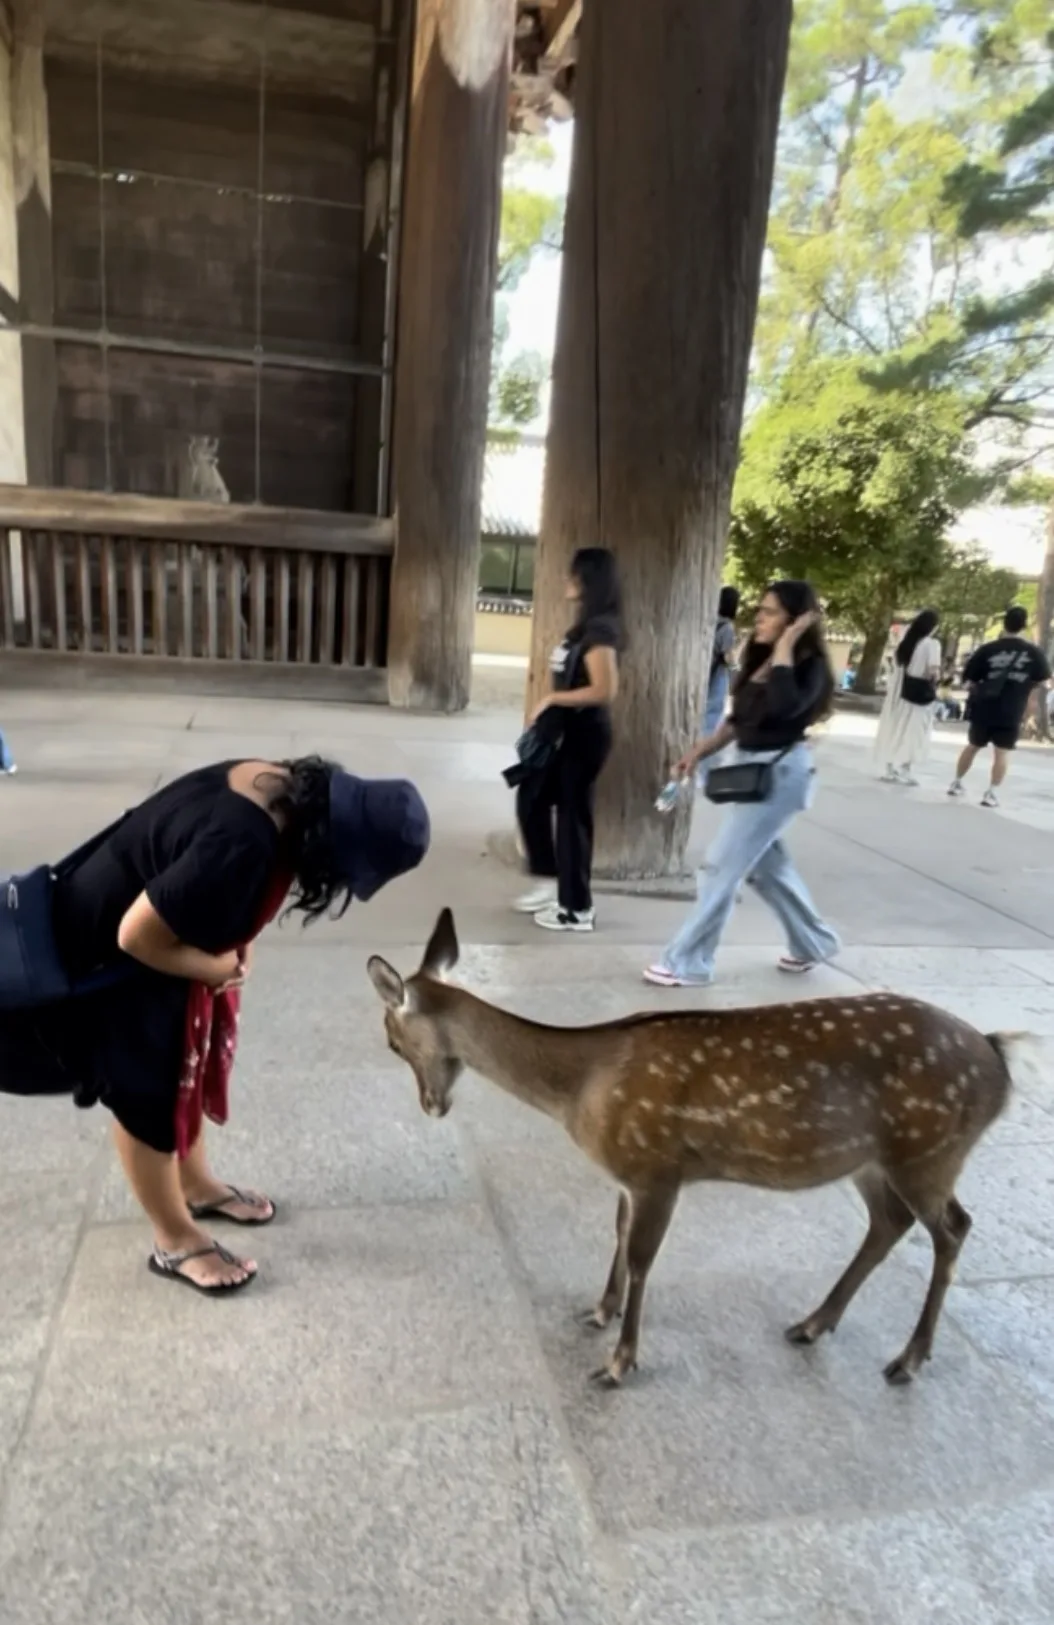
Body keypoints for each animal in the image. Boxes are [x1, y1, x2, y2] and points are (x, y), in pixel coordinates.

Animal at [368, 910, 1034, 1391]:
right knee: (890, 1222)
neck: (580, 1089)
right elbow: (616, 1235)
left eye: (392, 1043)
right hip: (872, 1160)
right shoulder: (628, 1175)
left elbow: (642, 1258)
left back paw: (908, 1359)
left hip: (930, 1151)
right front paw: (599, 1312)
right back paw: (812, 1324)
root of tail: (999, 1062)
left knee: (953, 1227)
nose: (432, 1105)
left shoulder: (658, 1168)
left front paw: (618, 1363)